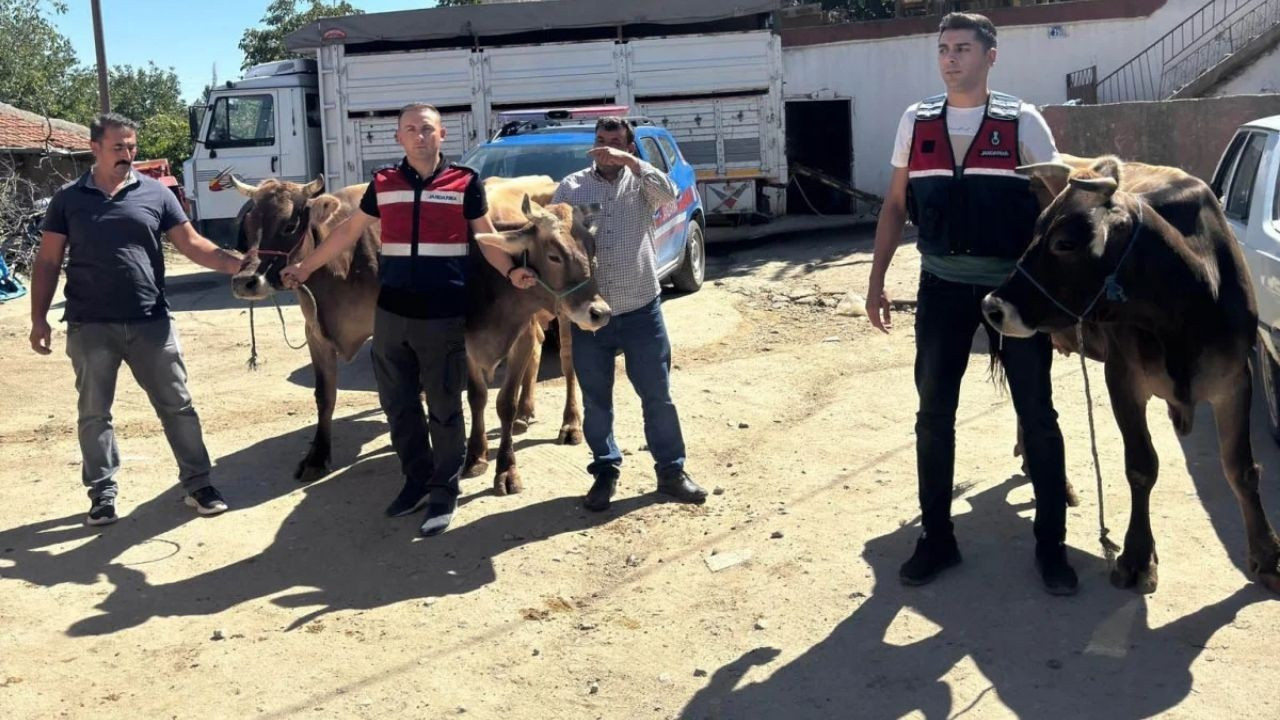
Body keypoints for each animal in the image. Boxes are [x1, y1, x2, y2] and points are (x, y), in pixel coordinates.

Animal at [229, 174, 609, 491]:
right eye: (248, 223)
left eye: (291, 223)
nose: (245, 280)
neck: (339, 264)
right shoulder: (316, 333)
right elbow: (326, 396)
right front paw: (317, 456)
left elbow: (498, 400)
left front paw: (502, 468)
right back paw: (525, 412)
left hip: (562, 320)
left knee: (566, 361)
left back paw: (570, 423)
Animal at [983, 154, 1274, 591]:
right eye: (1035, 231)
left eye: (1064, 243)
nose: (993, 306)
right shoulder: (1123, 380)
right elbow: (1141, 467)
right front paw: (1136, 556)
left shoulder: (1235, 379)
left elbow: (1241, 469)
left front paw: (1268, 555)